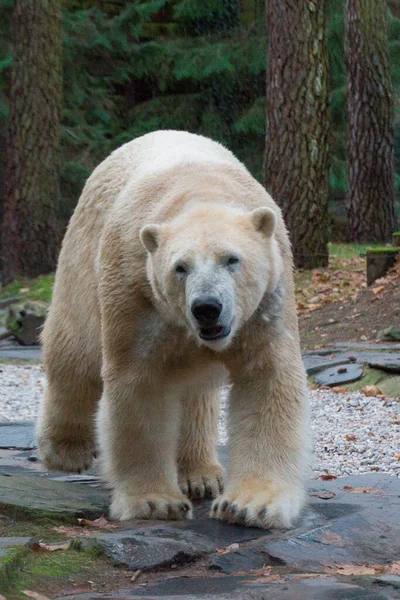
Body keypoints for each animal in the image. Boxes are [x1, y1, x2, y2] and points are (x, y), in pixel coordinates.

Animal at [36, 129, 310, 528]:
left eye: (232, 259)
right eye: (180, 267)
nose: (207, 308)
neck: (199, 191)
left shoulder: (266, 303)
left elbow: (266, 379)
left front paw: (249, 505)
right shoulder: (136, 291)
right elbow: (140, 387)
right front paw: (156, 502)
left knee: (196, 393)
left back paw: (201, 475)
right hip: (82, 257)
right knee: (74, 350)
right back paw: (66, 449)